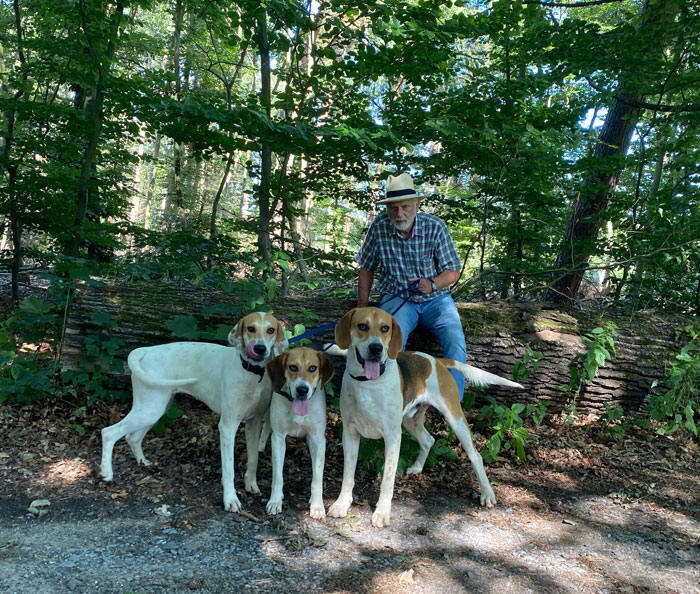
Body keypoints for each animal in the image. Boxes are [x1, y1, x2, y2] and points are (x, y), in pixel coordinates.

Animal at [98, 310, 288, 508]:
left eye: (271, 330)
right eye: (251, 328)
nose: (260, 348)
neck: (252, 374)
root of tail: (146, 350)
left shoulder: (254, 423)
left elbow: (253, 459)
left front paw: (251, 484)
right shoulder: (227, 427)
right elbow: (229, 469)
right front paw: (230, 499)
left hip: (155, 408)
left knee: (132, 437)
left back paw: (143, 462)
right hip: (150, 409)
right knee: (109, 432)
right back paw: (107, 472)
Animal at [262, 346, 334, 520]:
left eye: (313, 368)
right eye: (293, 367)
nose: (302, 390)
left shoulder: (318, 440)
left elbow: (317, 478)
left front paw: (317, 505)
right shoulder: (278, 438)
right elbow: (277, 476)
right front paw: (275, 501)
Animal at [326, 308, 524, 524]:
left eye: (385, 328)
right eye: (362, 326)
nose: (376, 348)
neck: (368, 384)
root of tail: (435, 360)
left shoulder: (393, 437)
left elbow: (387, 480)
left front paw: (382, 512)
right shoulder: (350, 434)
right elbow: (348, 475)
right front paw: (342, 504)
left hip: (455, 419)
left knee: (476, 456)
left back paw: (487, 493)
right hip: (410, 420)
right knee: (429, 440)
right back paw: (417, 467)